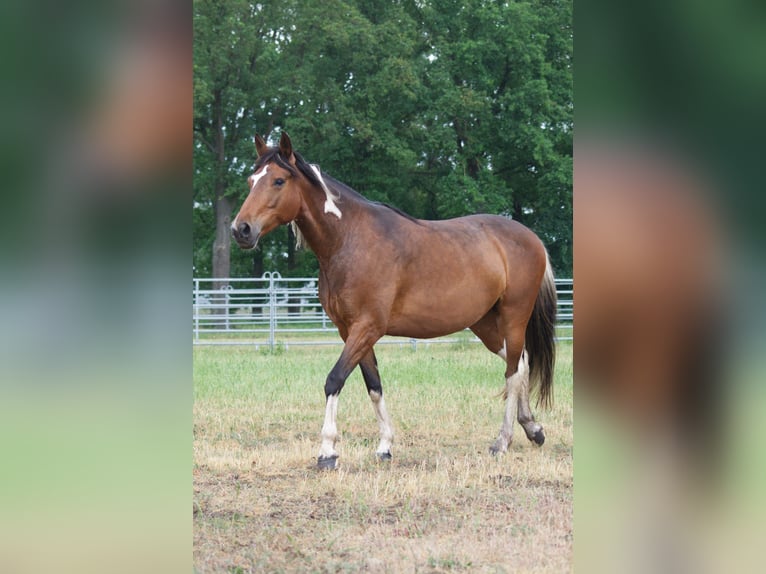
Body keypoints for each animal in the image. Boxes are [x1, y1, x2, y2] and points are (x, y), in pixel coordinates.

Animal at [230, 133, 560, 470]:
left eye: (279, 180)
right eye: (251, 180)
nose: (241, 230)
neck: (349, 240)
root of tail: (531, 238)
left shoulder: (367, 328)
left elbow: (334, 380)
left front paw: (327, 451)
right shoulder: (350, 331)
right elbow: (374, 386)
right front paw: (385, 446)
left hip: (513, 316)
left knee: (512, 371)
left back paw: (502, 441)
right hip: (485, 323)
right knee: (521, 362)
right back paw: (532, 428)